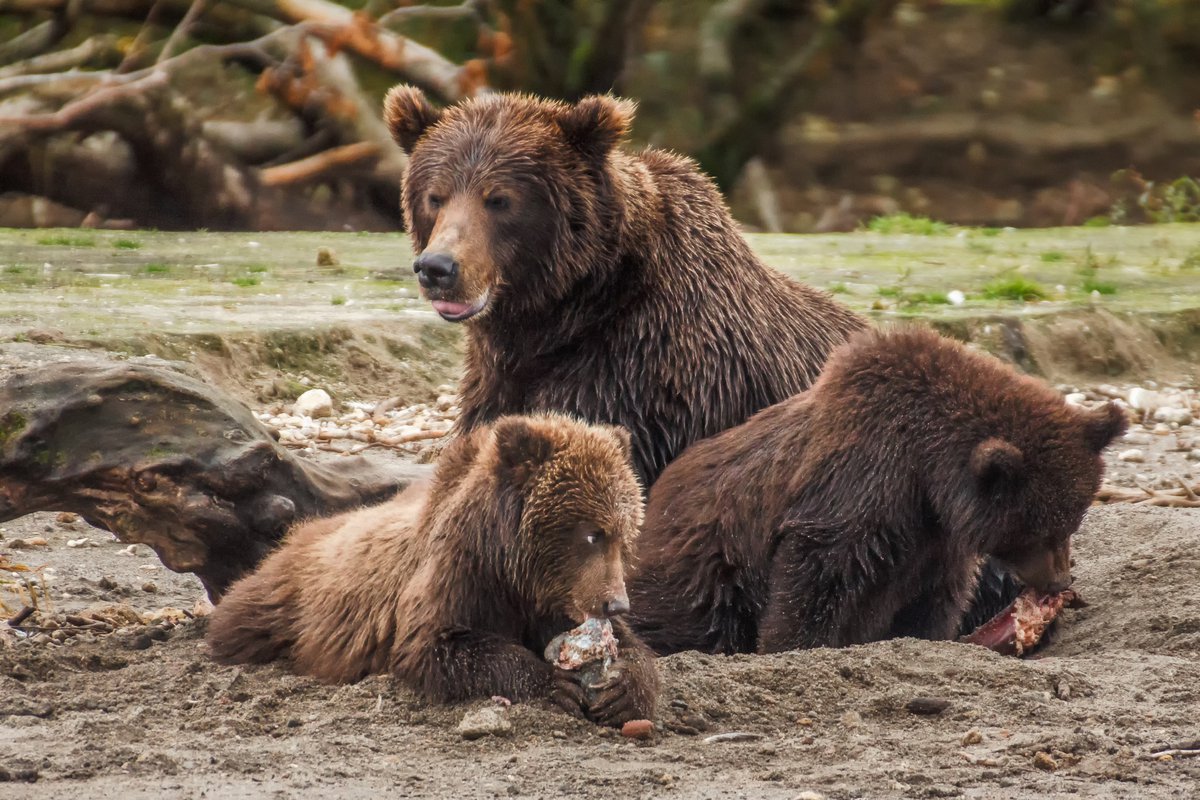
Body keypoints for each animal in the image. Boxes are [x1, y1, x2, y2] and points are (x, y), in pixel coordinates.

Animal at [205, 412, 657, 724]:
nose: (616, 603)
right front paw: (553, 684)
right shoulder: (459, 576)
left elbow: (634, 648)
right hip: (285, 598)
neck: (515, 573)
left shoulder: (556, 600)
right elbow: (435, 645)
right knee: (242, 619)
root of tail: (302, 532)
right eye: (591, 534)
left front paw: (621, 690)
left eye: (624, 534)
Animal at [624, 326, 1128, 657]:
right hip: (705, 564)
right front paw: (792, 646)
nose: (1059, 581)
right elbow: (816, 579)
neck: (926, 473)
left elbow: (933, 597)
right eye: (1037, 529)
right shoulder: (858, 485)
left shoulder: (935, 539)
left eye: (1073, 519)